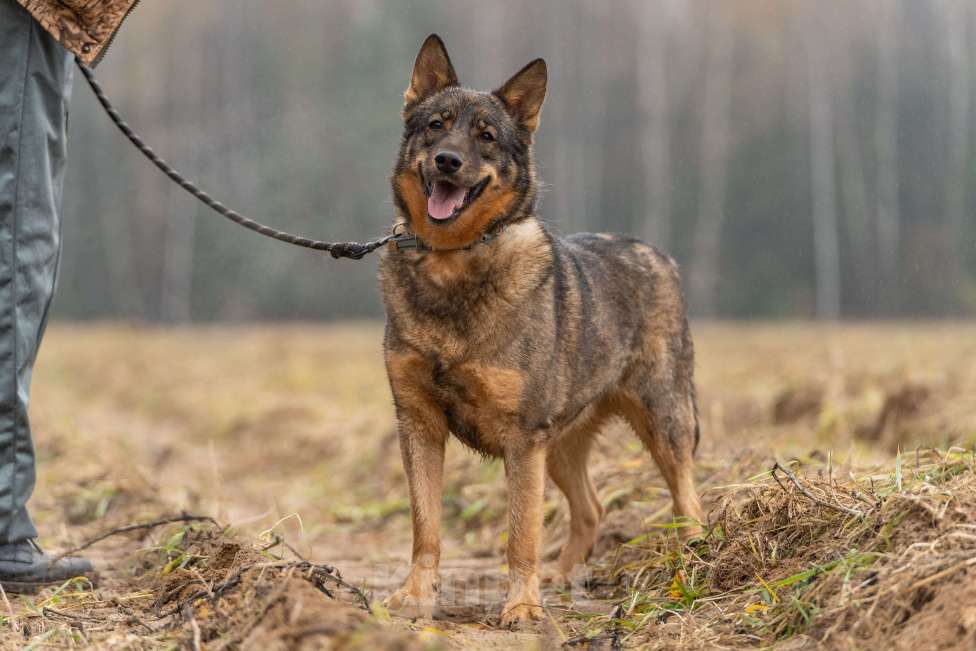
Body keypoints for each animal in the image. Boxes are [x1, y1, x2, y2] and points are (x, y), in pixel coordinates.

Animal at [378, 34, 704, 628]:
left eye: (486, 137)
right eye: (435, 125)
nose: (447, 161)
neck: (453, 263)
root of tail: (659, 254)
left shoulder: (522, 437)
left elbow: (520, 534)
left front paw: (523, 607)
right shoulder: (418, 423)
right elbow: (425, 527)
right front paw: (415, 598)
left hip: (661, 420)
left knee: (687, 497)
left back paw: (691, 562)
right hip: (561, 444)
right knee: (592, 508)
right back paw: (562, 576)